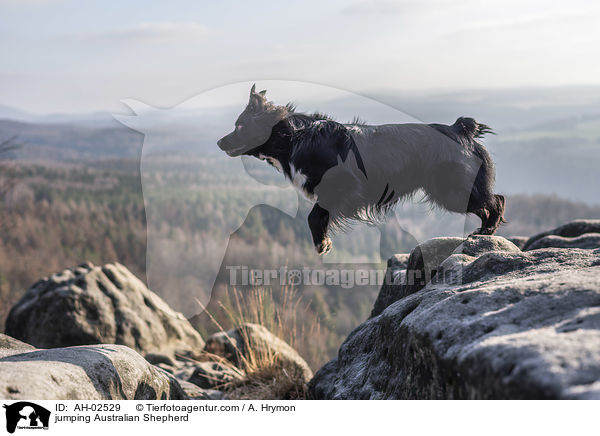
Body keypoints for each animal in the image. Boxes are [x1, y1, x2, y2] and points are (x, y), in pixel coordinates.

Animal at [218, 84, 504, 255]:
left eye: (240, 126)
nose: (220, 142)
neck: (295, 137)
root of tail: (459, 130)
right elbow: (318, 214)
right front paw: (324, 240)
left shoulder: (346, 186)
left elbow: (314, 214)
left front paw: (322, 243)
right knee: (490, 201)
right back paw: (484, 231)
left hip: (450, 189)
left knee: (496, 200)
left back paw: (488, 230)